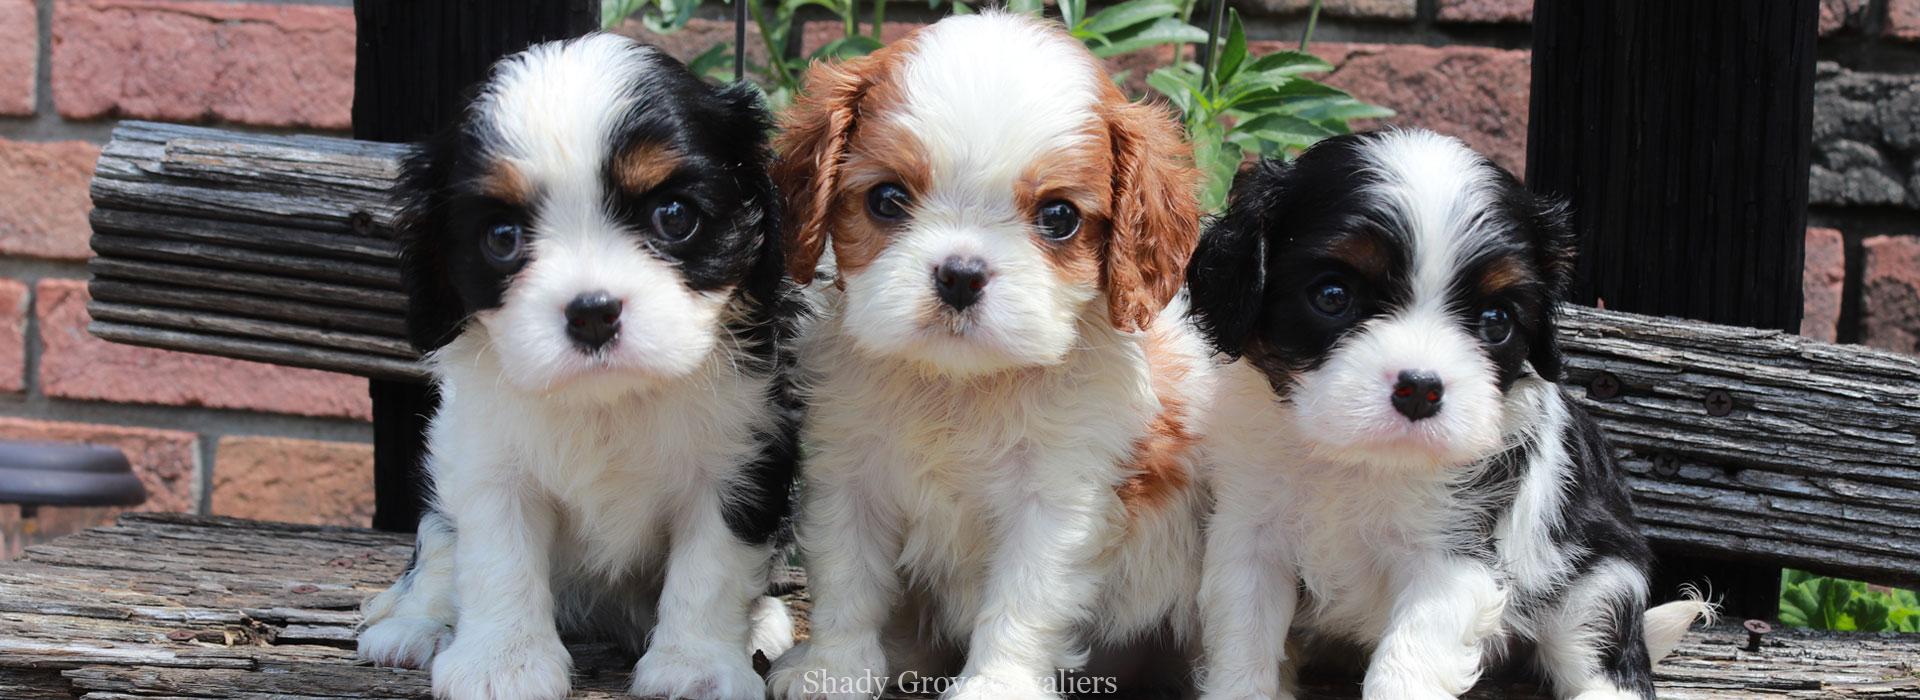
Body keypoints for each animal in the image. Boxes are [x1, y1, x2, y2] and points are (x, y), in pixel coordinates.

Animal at [357, 32, 798, 698]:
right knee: (437, 548)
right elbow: (497, 558)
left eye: (674, 216)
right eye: (502, 237)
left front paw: (695, 667)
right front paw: (502, 663)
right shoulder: (487, 460)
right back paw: (416, 624)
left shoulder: (741, 459)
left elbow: (711, 568)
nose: (592, 313)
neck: (605, 401)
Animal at [764, 10, 1213, 698]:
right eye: (887, 199)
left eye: (1058, 217)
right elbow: (846, 577)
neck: (961, 386)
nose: (960, 275)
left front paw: (996, 683)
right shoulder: (847, 473)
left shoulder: (1055, 499)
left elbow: (1022, 600)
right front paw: (832, 668)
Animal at [1182, 130, 1712, 698]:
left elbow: (1404, 666)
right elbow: (1246, 643)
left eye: (1496, 321)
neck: (1360, 463)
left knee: (1610, 660)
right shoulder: (1250, 536)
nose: (1420, 390)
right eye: (1332, 296)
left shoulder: (1453, 557)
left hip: (1601, 579)